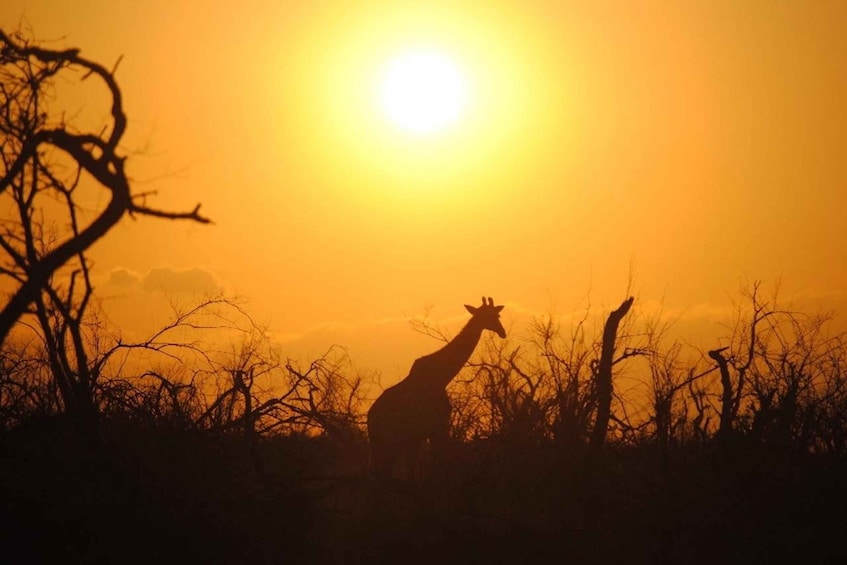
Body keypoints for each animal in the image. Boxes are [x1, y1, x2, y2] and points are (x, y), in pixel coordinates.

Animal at [367, 296, 507, 478]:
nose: (502, 332)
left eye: (497, 315)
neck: (442, 377)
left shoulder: (421, 435)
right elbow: (438, 464)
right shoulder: (437, 427)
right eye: (487, 316)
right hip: (387, 443)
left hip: (393, 443)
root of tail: (370, 417)